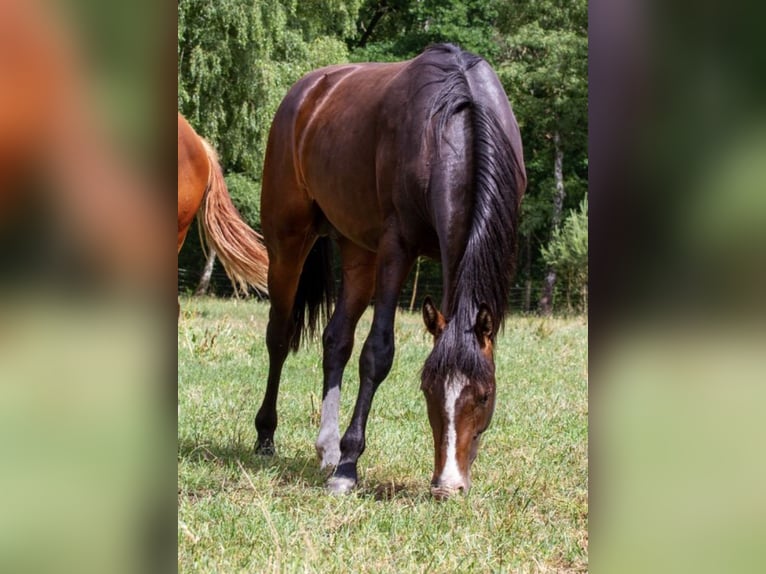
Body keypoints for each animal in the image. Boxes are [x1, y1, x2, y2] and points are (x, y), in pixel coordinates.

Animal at [258, 44, 528, 500]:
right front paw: (349, 467)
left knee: (336, 341)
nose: (447, 486)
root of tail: (306, 91)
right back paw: (267, 437)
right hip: (288, 241)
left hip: (358, 252)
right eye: (427, 390)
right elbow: (377, 353)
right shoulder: (396, 247)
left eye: (484, 395)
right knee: (278, 337)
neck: (457, 121)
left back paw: (327, 449)